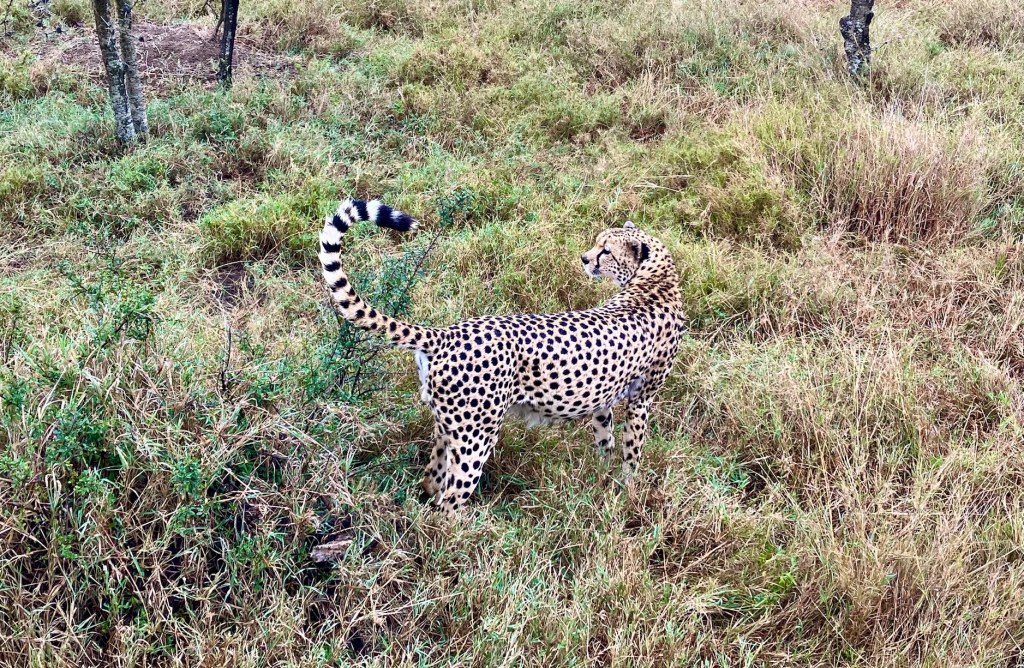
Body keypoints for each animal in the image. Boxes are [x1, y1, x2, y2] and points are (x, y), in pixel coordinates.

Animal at [317, 198, 686, 516]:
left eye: (606, 250)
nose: (584, 258)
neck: (655, 280)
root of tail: (447, 333)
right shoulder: (642, 398)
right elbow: (633, 449)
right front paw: (629, 488)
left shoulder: (605, 398)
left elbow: (605, 437)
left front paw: (605, 473)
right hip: (476, 437)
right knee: (450, 501)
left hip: (449, 426)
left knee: (432, 479)